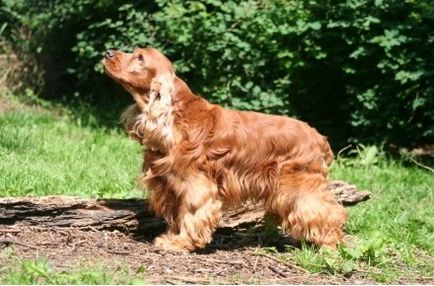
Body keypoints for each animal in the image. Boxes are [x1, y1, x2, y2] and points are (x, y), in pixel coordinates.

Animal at [101, 48, 346, 251]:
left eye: (140, 57)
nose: (108, 52)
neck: (176, 116)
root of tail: (320, 138)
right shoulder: (170, 186)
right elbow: (177, 215)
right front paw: (171, 237)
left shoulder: (196, 185)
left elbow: (191, 213)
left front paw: (180, 243)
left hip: (300, 187)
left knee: (329, 213)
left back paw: (330, 247)